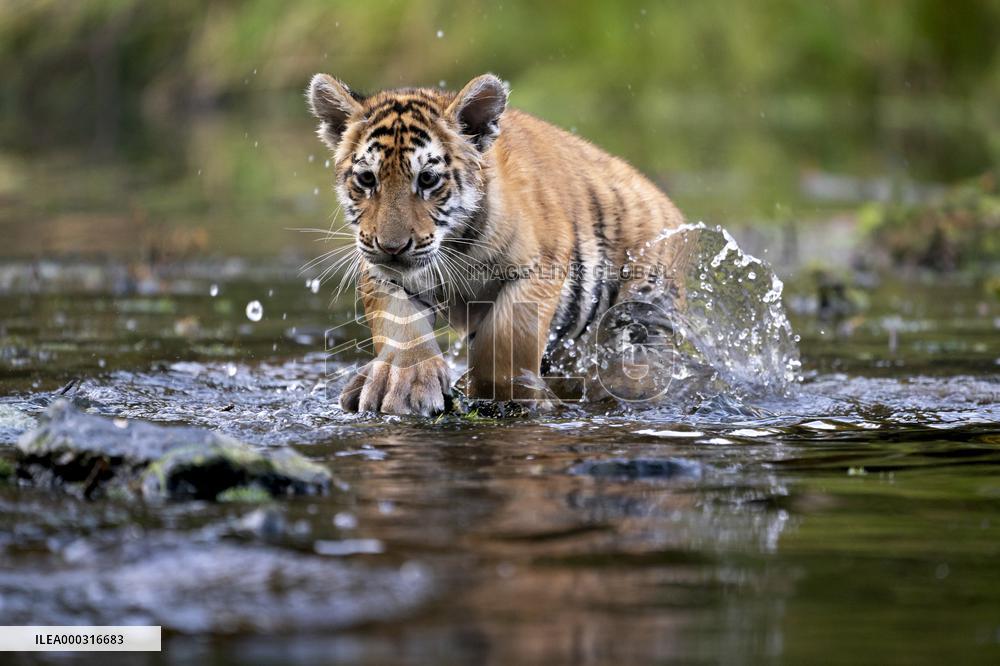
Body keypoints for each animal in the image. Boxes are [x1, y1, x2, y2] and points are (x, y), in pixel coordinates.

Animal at [307, 72, 686, 415]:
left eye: (427, 179)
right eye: (367, 179)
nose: (392, 246)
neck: (455, 245)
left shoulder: (540, 270)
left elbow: (505, 340)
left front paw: (502, 395)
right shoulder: (383, 274)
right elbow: (401, 325)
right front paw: (402, 387)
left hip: (640, 315)